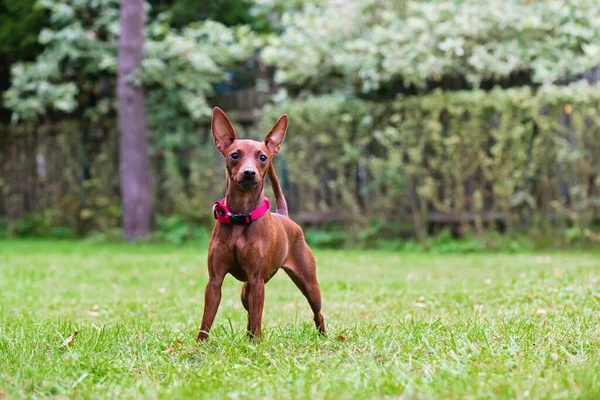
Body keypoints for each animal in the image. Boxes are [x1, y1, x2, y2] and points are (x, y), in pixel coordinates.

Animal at [196, 107, 326, 340]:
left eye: (263, 157)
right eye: (235, 155)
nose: (249, 173)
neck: (240, 216)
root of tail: (286, 218)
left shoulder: (257, 280)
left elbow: (257, 317)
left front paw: (256, 345)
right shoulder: (215, 281)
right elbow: (206, 321)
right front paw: (199, 345)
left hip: (309, 285)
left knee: (317, 312)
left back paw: (323, 337)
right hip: (245, 291)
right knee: (249, 313)